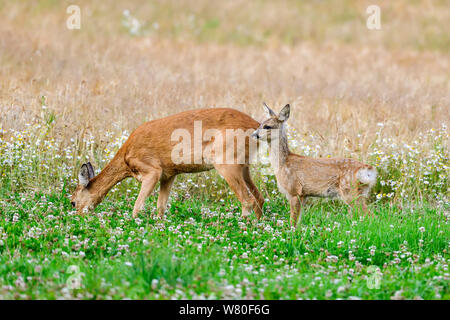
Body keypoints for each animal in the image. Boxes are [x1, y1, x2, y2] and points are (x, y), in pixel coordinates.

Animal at [70, 107, 264, 220]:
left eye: (72, 202)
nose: (78, 218)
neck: (126, 158)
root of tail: (256, 126)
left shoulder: (152, 171)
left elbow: (138, 206)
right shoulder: (169, 174)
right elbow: (161, 206)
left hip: (225, 162)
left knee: (248, 200)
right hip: (244, 167)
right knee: (259, 198)